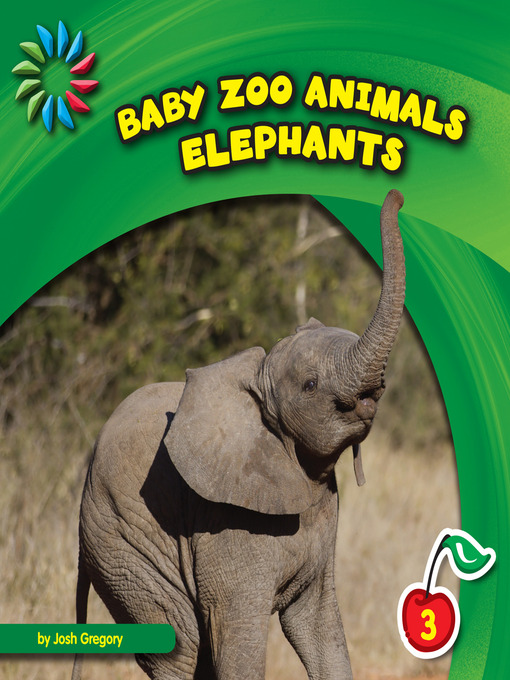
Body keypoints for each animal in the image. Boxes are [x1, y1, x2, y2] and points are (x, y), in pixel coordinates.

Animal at [71, 189, 406, 680]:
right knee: (181, 646)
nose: (396, 197)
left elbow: (318, 627)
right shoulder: (225, 522)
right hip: (123, 547)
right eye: (310, 385)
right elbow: (236, 632)